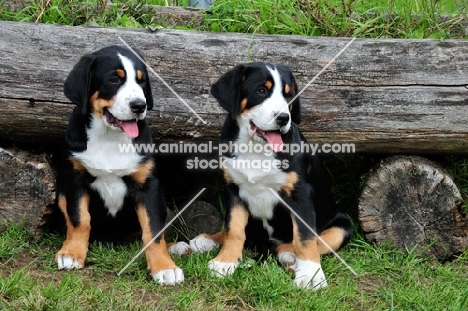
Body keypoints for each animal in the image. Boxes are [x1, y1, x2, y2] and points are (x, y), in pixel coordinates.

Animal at [55, 45, 185, 286]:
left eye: (141, 81)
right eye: (114, 80)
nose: (140, 105)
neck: (109, 138)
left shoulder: (147, 186)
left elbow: (153, 230)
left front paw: (164, 267)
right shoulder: (75, 179)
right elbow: (80, 219)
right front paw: (72, 253)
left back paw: (178, 247)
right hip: (61, 193)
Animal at [188, 62, 352, 292]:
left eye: (288, 95)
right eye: (261, 91)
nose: (283, 118)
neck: (256, 148)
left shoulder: (300, 194)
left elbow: (305, 238)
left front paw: (311, 276)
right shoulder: (234, 190)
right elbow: (233, 229)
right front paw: (225, 262)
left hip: (342, 226)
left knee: (309, 243)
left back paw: (291, 259)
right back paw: (205, 241)